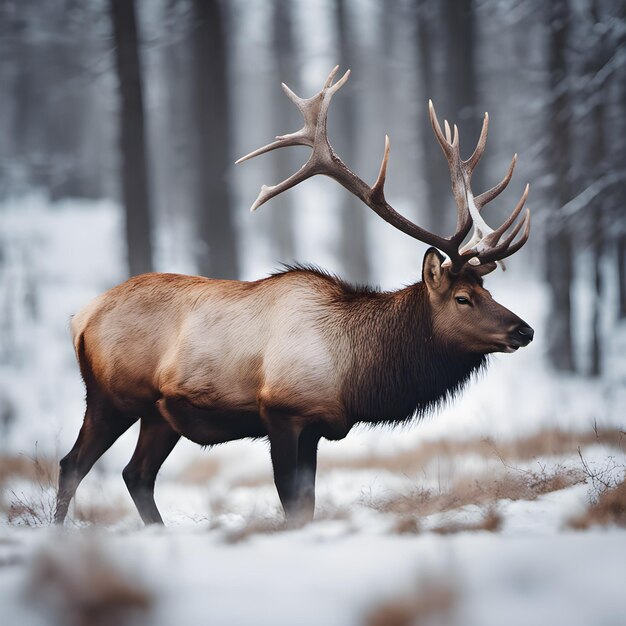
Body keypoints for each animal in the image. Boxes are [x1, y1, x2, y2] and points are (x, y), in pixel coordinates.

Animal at [54, 68, 532, 524]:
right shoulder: (283, 412)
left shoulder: (317, 428)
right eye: (462, 298)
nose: (524, 330)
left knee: (136, 474)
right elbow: (293, 502)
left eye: (486, 289)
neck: (354, 374)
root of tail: (81, 318)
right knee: (72, 464)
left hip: (159, 413)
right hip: (111, 397)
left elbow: (308, 503)